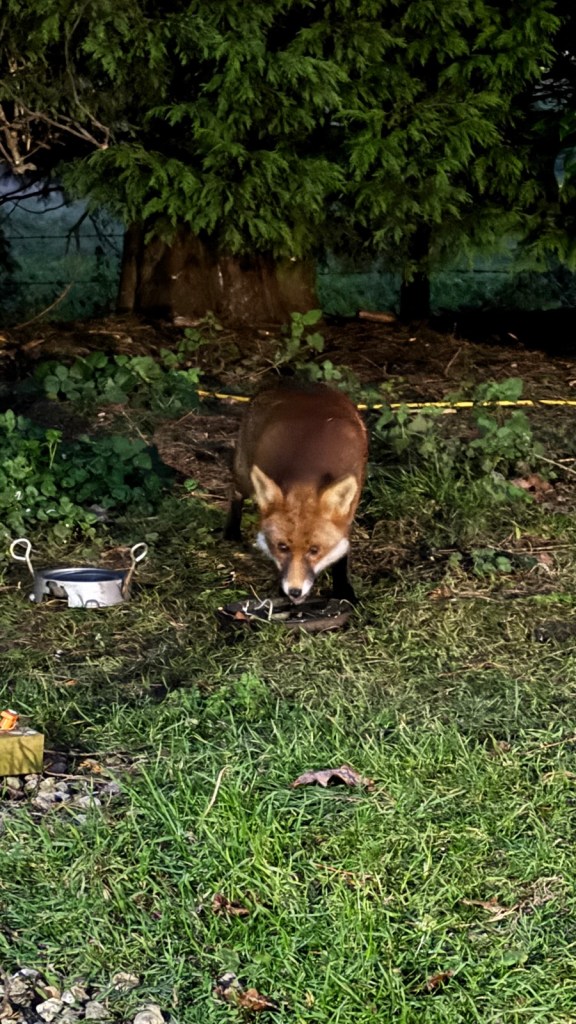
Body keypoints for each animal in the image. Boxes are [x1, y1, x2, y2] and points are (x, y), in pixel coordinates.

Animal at [224, 381, 368, 604]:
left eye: (314, 550)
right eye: (282, 547)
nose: (294, 592)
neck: (309, 467)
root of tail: (297, 384)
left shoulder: (349, 512)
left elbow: (342, 552)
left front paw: (343, 588)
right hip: (245, 476)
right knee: (235, 492)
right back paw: (231, 531)